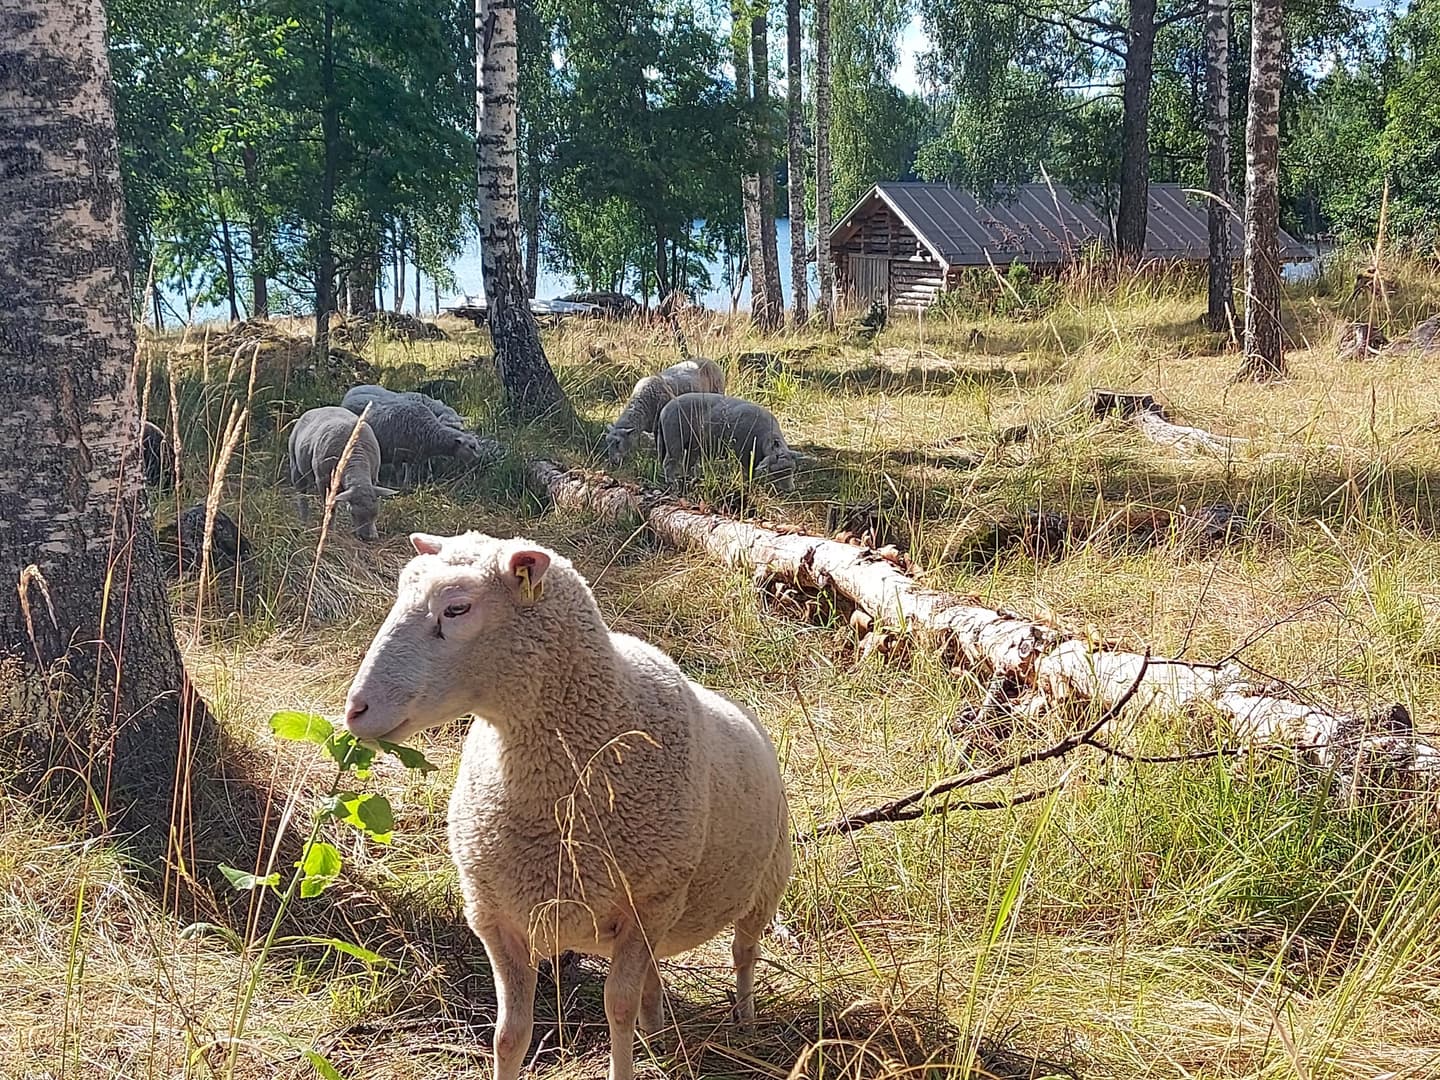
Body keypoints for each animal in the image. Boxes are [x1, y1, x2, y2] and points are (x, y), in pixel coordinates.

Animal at [287, 406, 397, 541]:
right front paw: (330, 531)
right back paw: (304, 522)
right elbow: (331, 509)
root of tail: (319, 409)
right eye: (353, 513)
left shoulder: (373, 479)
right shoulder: (323, 482)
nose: (369, 537)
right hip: (296, 467)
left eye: (376, 513)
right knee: (301, 496)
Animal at [342, 531, 792, 1080]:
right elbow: (509, 1034)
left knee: (743, 950)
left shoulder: (648, 904)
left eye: (457, 608)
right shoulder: (495, 917)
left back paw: (744, 1016)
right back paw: (659, 1033)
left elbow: (616, 1008)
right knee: (658, 977)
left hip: (766, 880)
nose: (354, 710)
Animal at [655, 392, 800, 491]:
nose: (790, 490)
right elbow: (747, 473)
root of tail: (664, 410)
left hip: (691, 445)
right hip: (674, 439)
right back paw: (672, 482)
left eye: (792, 470)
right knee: (669, 463)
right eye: (777, 472)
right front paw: (748, 486)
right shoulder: (743, 452)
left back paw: (689, 479)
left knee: (687, 463)